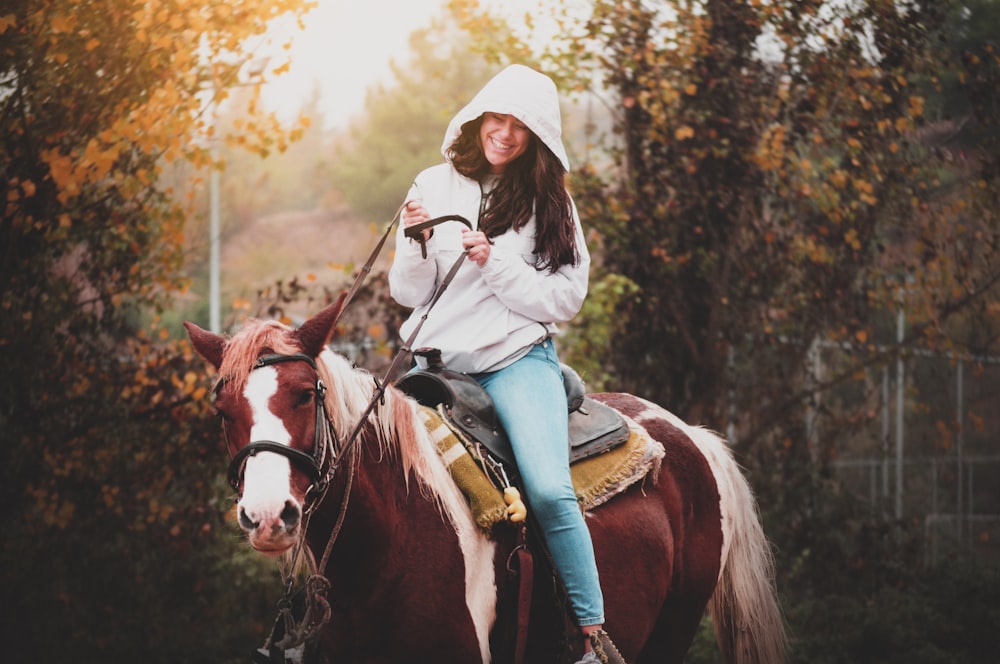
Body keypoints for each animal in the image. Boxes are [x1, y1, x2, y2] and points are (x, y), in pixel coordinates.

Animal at [184, 296, 784, 664]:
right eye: (222, 411)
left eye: (306, 394)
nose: (267, 516)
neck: (383, 551)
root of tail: (690, 434)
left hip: (671, 632)